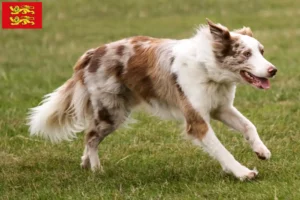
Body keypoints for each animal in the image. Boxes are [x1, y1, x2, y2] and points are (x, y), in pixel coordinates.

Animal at [27, 19, 276, 180]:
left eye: (262, 51)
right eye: (246, 54)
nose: (273, 70)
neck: (210, 70)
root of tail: (92, 54)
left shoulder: (220, 107)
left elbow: (249, 125)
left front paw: (261, 150)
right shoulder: (197, 120)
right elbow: (221, 149)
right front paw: (242, 172)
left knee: (90, 136)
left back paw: (86, 163)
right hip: (112, 112)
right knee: (90, 137)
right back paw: (97, 169)